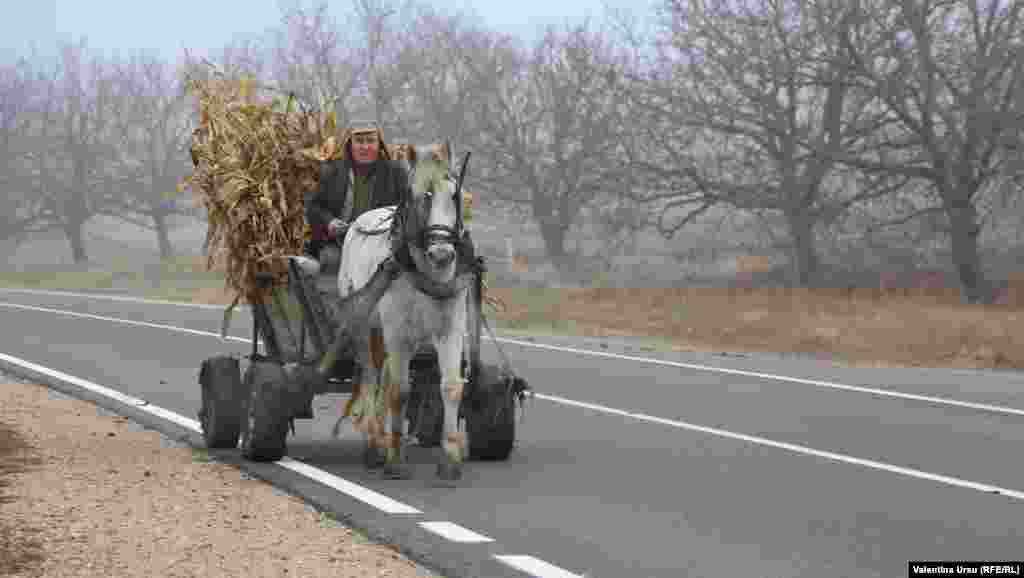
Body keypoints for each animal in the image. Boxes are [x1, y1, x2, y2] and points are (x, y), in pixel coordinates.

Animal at [331, 142, 471, 485]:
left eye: (455, 195)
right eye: (418, 195)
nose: (442, 254)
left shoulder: (450, 329)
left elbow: (451, 387)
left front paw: (450, 461)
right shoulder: (399, 333)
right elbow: (400, 391)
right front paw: (395, 461)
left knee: (381, 377)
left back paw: (381, 439)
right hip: (365, 326)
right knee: (370, 377)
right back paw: (374, 444)